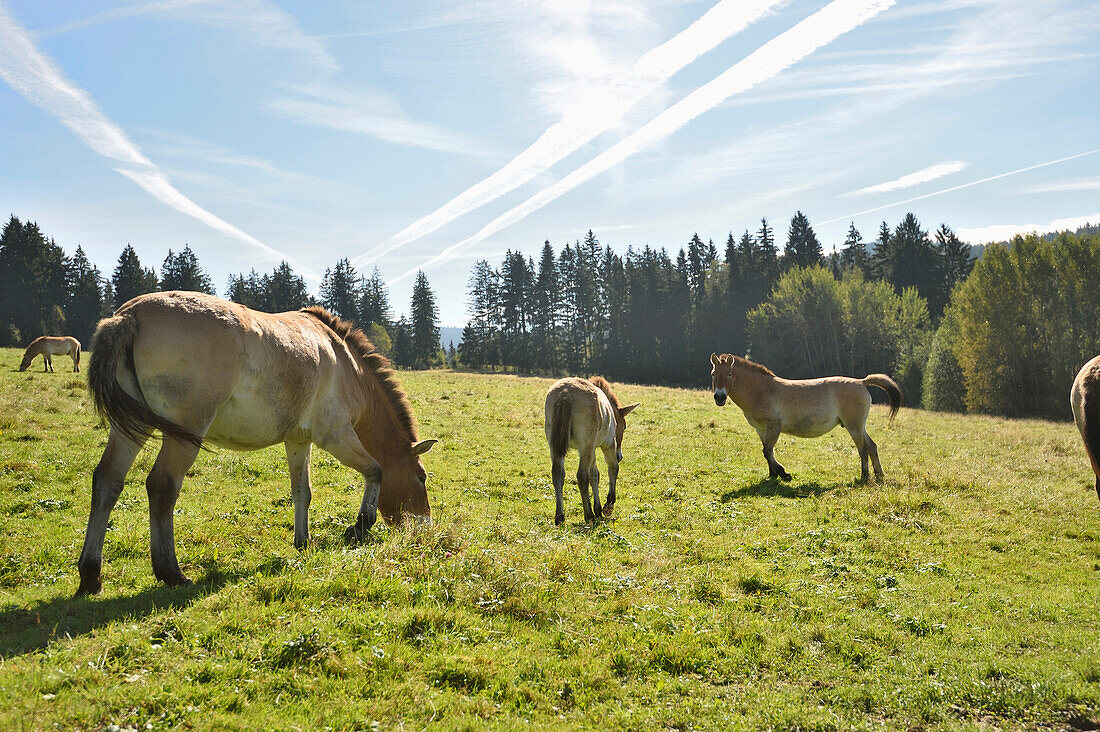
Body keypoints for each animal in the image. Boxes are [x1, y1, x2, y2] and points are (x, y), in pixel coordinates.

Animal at [77, 290, 435, 594]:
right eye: (421, 478)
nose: (424, 528)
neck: (346, 364)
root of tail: (131, 313)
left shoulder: (298, 441)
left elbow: (302, 491)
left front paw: (303, 542)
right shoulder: (335, 436)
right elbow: (375, 471)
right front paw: (360, 526)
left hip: (131, 427)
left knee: (108, 480)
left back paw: (91, 575)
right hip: (184, 432)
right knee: (162, 486)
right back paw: (171, 572)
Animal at [545, 376, 642, 526]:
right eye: (624, 426)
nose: (620, 456)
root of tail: (565, 393)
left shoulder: (592, 450)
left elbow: (595, 475)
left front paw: (598, 509)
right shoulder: (608, 444)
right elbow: (613, 468)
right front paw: (607, 506)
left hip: (556, 447)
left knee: (558, 474)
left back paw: (560, 517)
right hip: (586, 447)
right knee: (582, 476)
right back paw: (588, 515)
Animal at [712, 352, 902, 482]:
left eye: (729, 374)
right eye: (713, 373)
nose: (719, 397)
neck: (761, 390)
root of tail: (861, 382)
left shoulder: (774, 426)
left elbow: (767, 450)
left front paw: (784, 474)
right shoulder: (761, 429)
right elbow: (767, 451)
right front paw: (773, 475)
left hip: (853, 426)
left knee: (862, 448)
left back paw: (864, 477)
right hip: (859, 426)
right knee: (872, 446)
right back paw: (879, 475)